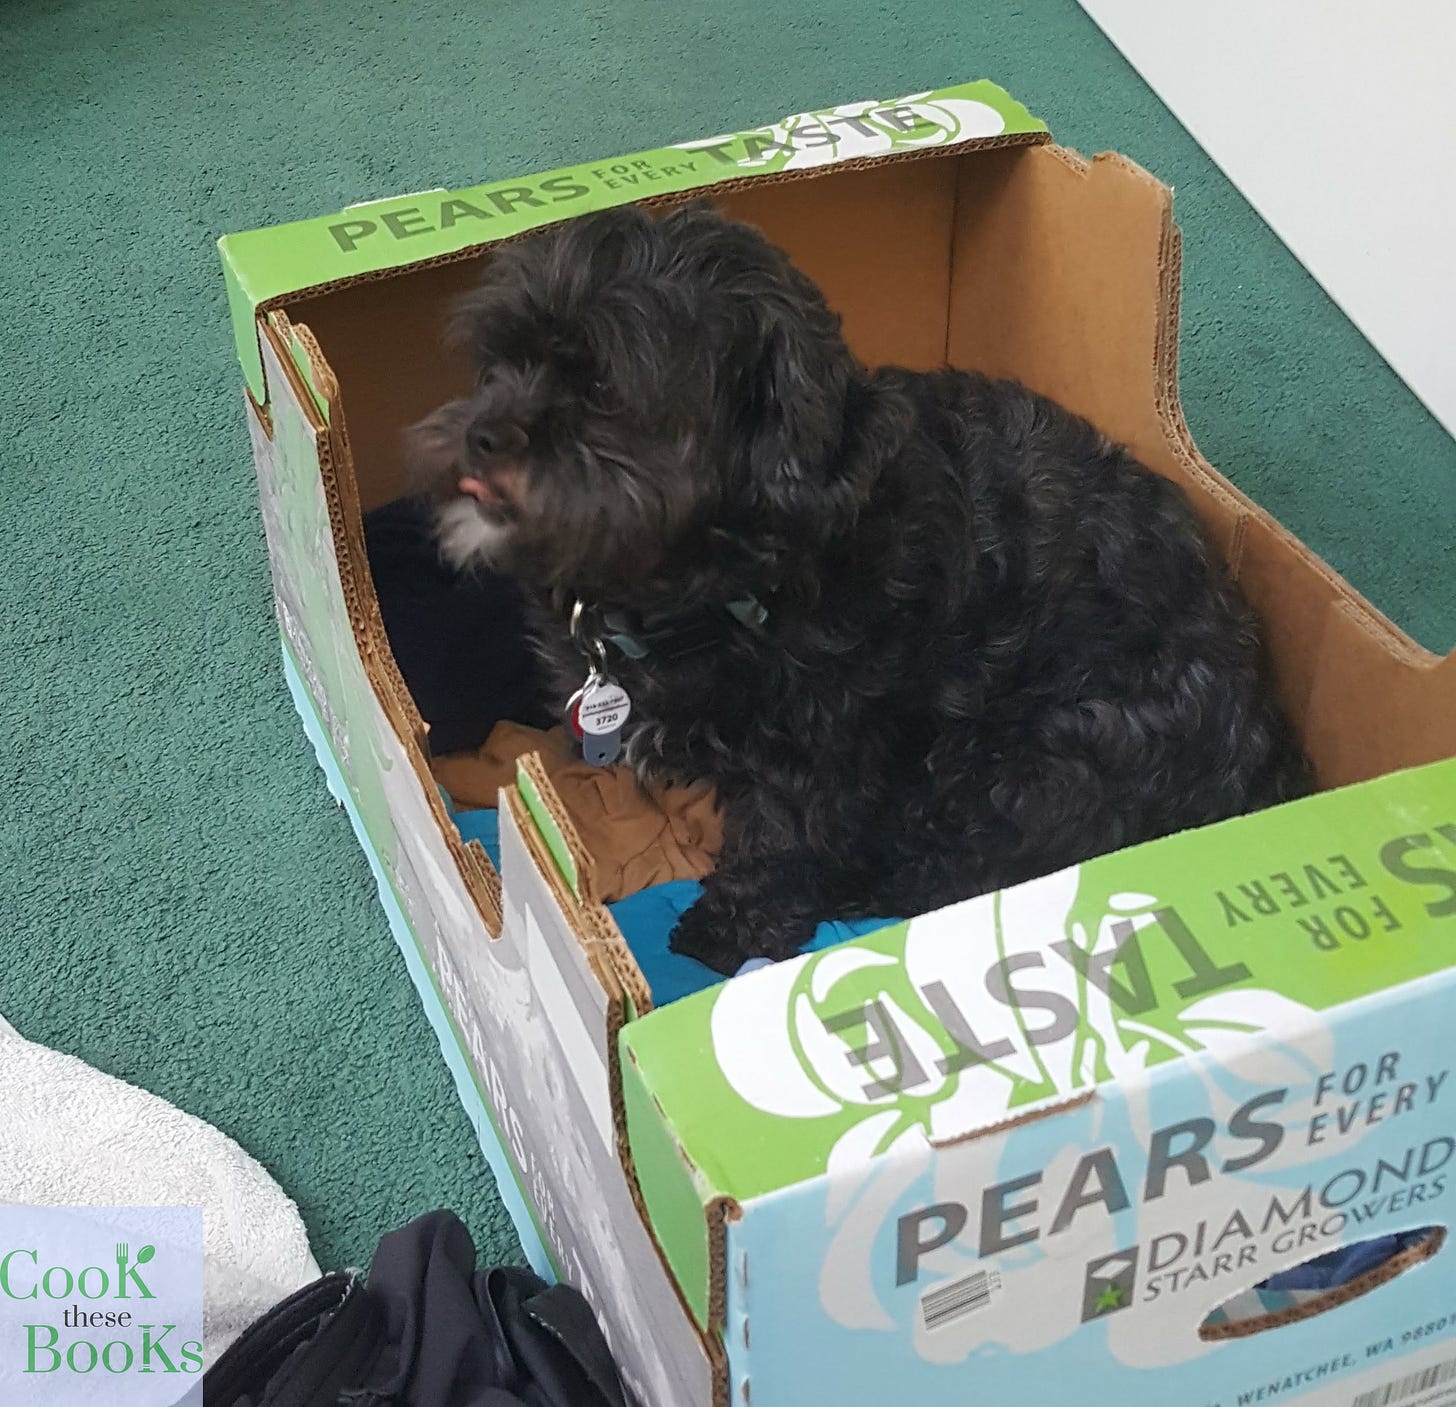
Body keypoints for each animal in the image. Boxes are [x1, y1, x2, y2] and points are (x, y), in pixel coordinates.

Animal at [407, 203, 1310, 972]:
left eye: (601, 388)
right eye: (500, 360)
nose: (481, 434)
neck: (701, 588)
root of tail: (1272, 763)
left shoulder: (824, 741)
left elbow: (781, 840)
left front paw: (728, 930)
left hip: (1033, 759)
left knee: (950, 872)